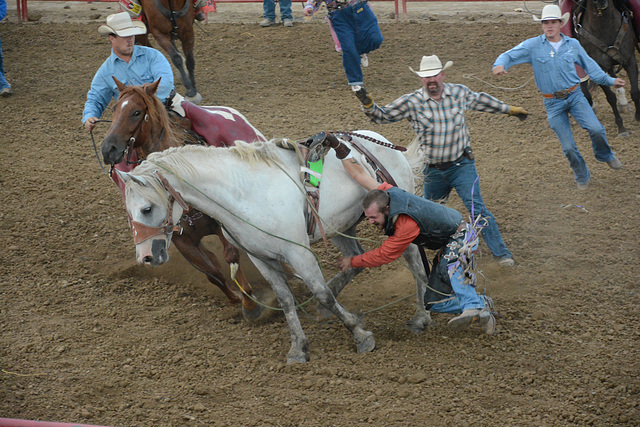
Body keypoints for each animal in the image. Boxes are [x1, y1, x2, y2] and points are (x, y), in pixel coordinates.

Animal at [99, 78, 268, 320]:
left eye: (136, 112)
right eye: (113, 109)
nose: (108, 148)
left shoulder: (223, 224)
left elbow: (231, 255)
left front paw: (250, 304)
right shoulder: (183, 241)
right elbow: (212, 272)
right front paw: (235, 298)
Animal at [117, 131, 432, 364]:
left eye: (146, 208)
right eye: (129, 212)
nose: (145, 257)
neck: (245, 193)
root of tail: (380, 141)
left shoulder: (298, 252)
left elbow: (321, 290)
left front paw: (360, 335)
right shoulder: (261, 257)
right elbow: (286, 298)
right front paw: (298, 348)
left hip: (396, 220)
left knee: (414, 263)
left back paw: (420, 317)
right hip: (340, 226)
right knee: (354, 259)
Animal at [572, 0, 640, 135]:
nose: (600, 2)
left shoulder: (630, 60)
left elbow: (635, 91)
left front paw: (638, 116)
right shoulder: (598, 67)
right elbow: (610, 97)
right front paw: (621, 127)